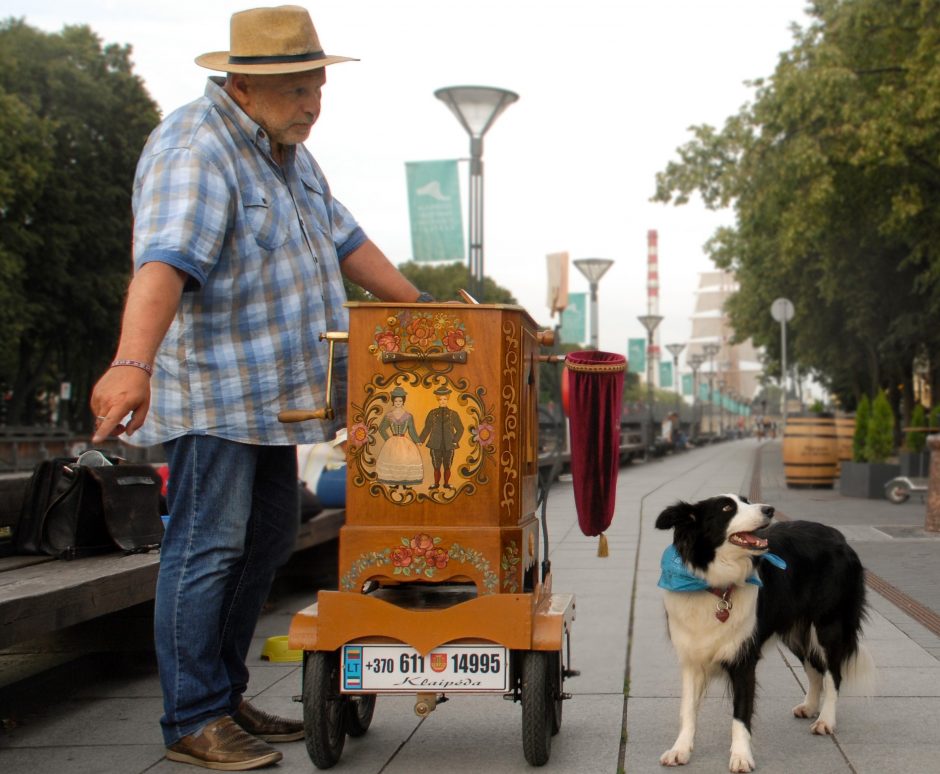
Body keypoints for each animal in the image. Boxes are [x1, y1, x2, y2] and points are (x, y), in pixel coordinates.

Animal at [656, 494, 872, 772]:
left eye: (746, 501)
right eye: (727, 507)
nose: (769, 509)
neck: (716, 586)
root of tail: (838, 536)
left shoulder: (743, 657)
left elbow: (740, 714)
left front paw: (741, 757)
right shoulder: (693, 657)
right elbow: (688, 709)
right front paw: (680, 750)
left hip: (828, 625)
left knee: (833, 675)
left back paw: (825, 720)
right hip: (795, 632)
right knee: (814, 669)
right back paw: (809, 707)